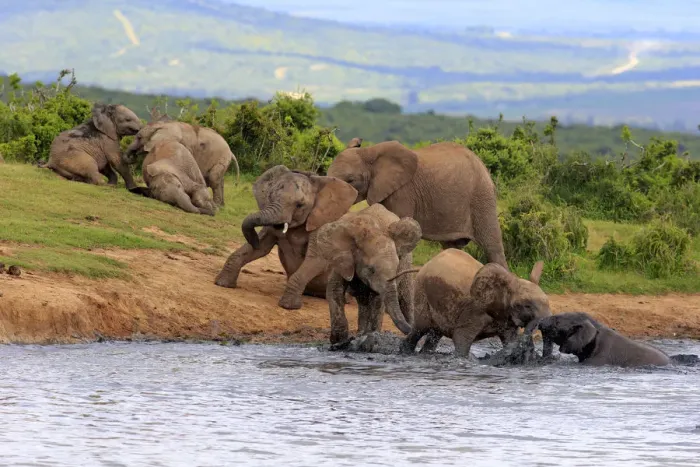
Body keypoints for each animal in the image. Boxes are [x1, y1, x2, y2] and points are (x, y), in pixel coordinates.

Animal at [214, 165, 358, 306]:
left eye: (300, 205)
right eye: (270, 196)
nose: (254, 240)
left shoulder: (323, 223)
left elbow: (317, 258)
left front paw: (289, 306)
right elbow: (261, 249)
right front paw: (222, 283)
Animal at [317, 205, 422, 347]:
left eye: (396, 268)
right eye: (371, 270)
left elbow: (378, 299)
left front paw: (371, 337)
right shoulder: (341, 258)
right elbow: (335, 290)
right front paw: (339, 340)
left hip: (408, 264)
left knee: (405, 299)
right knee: (363, 300)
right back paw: (360, 334)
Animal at [326, 138, 507, 269]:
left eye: (351, 180)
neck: (370, 152)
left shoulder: (403, 192)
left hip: (481, 197)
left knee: (493, 247)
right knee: (451, 246)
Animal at [397, 248, 551, 358]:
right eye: (526, 305)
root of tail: (426, 264)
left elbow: (510, 339)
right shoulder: (474, 311)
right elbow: (461, 339)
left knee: (434, 334)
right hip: (421, 293)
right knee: (419, 329)